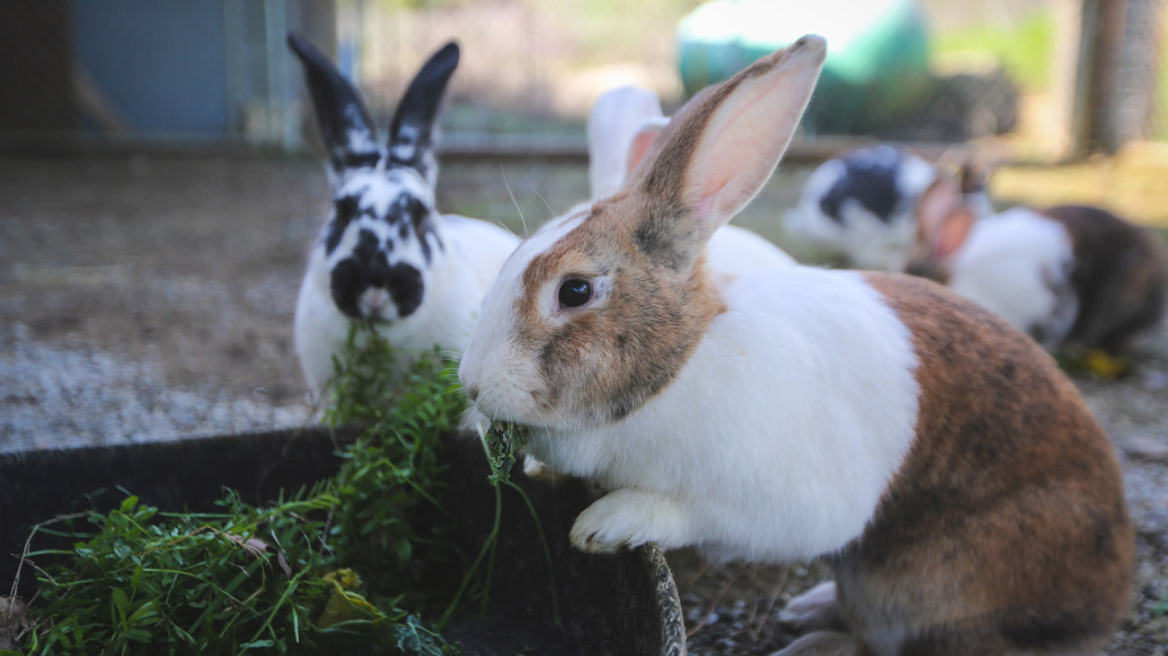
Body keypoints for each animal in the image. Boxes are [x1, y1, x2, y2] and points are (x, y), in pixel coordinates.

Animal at [455, 37, 1130, 653]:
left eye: (575, 290)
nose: (473, 384)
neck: (678, 370)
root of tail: (1107, 600)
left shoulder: (780, 503)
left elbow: (690, 512)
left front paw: (606, 524)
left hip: (933, 591)